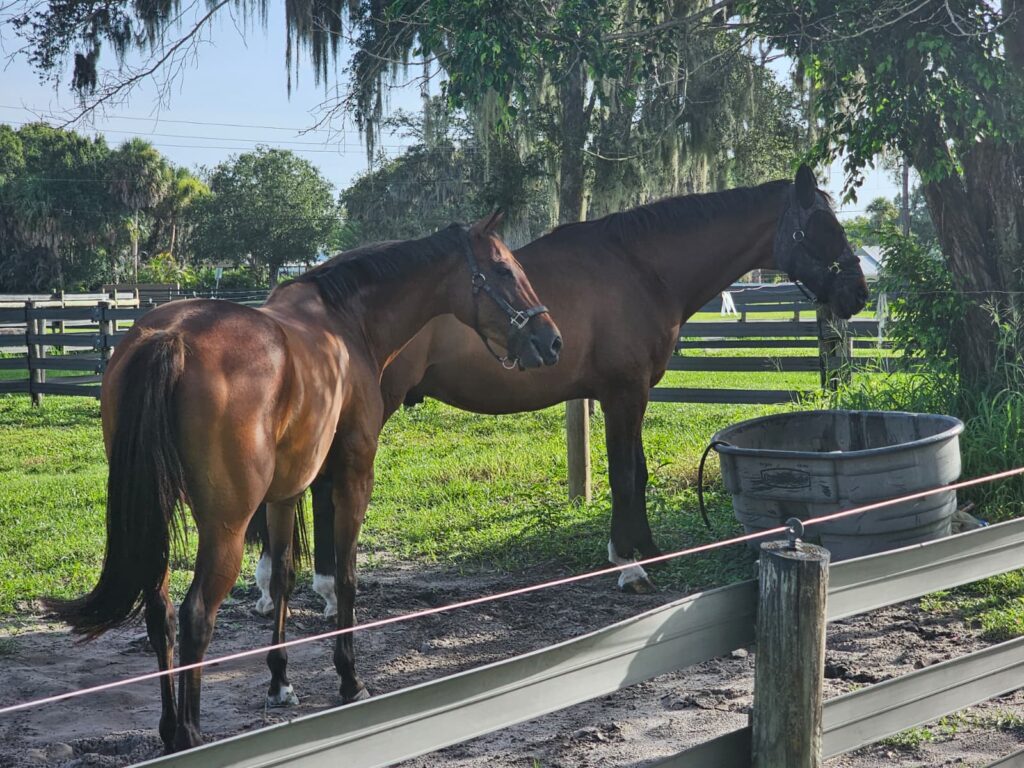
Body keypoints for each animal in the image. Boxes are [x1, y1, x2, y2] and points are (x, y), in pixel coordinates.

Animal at [48, 213, 562, 753]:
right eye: (503, 269)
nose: (551, 340)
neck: (345, 322)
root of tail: (171, 338)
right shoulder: (353, 474)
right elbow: (346, 577)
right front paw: (349, 678)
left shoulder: (286, 492)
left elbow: (283, 577)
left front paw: (280, 681)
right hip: (226, 528)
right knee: (196, 616)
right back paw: (190, 733)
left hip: (158, 520)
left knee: (160, 612)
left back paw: (171, 729)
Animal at [250, 165, 869, 617]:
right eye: (824, 229)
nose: (858, 294)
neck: (640, 267)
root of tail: (302, 298)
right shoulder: (623, 393)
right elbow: (624, 474)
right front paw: (629, 566)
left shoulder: (633, 394)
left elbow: (638, 473)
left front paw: (649, 552)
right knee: (325, 487)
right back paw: (326, 590)